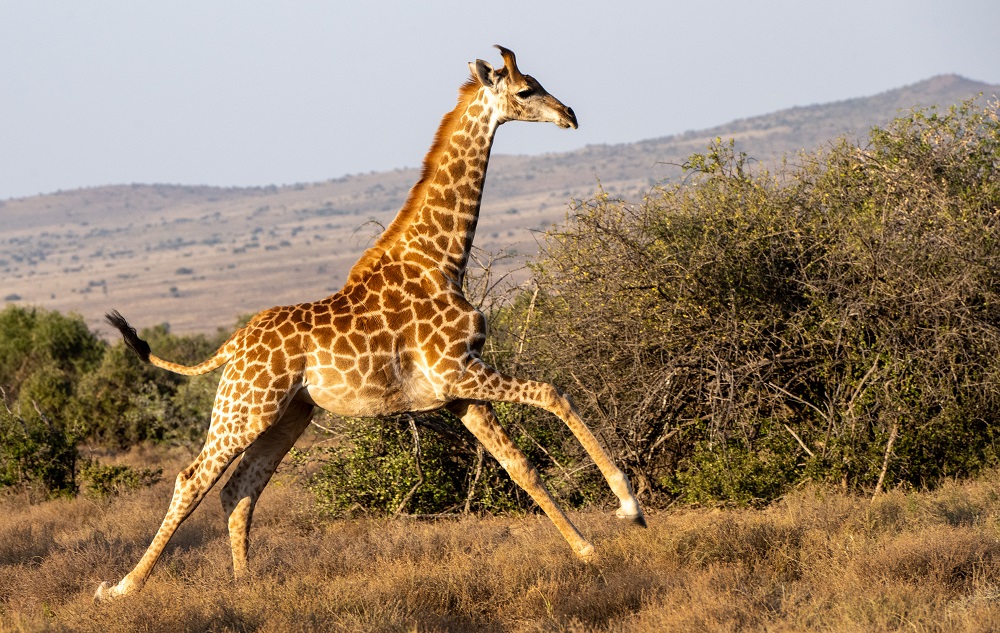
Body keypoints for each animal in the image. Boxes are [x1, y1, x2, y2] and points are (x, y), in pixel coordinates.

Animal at [97, 47, 644, 600]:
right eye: (526, 90)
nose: (569, 114)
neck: (443, 260)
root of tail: (231, 346)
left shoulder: (458, 389)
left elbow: (520, 466)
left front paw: (588, 549)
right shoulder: (457, 369)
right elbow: (555, 394)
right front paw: (628, 507)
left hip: (288, 413)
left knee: (239, 487)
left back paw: (247, 588)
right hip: (246, 406)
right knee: (192, 479)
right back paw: (121, 588)